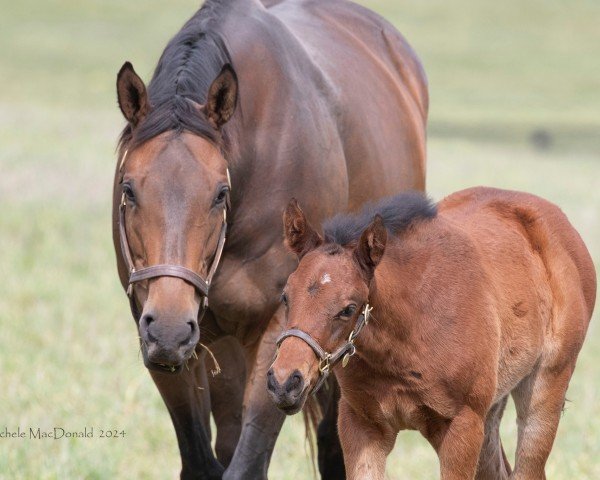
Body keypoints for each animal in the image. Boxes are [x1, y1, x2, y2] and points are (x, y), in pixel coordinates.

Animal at [270, 188, 596, 480]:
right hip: (492, 407)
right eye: (285, 297)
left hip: (545, 387)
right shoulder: (360, 424)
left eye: (349, 308)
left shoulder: (462, 426)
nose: (285, 381)